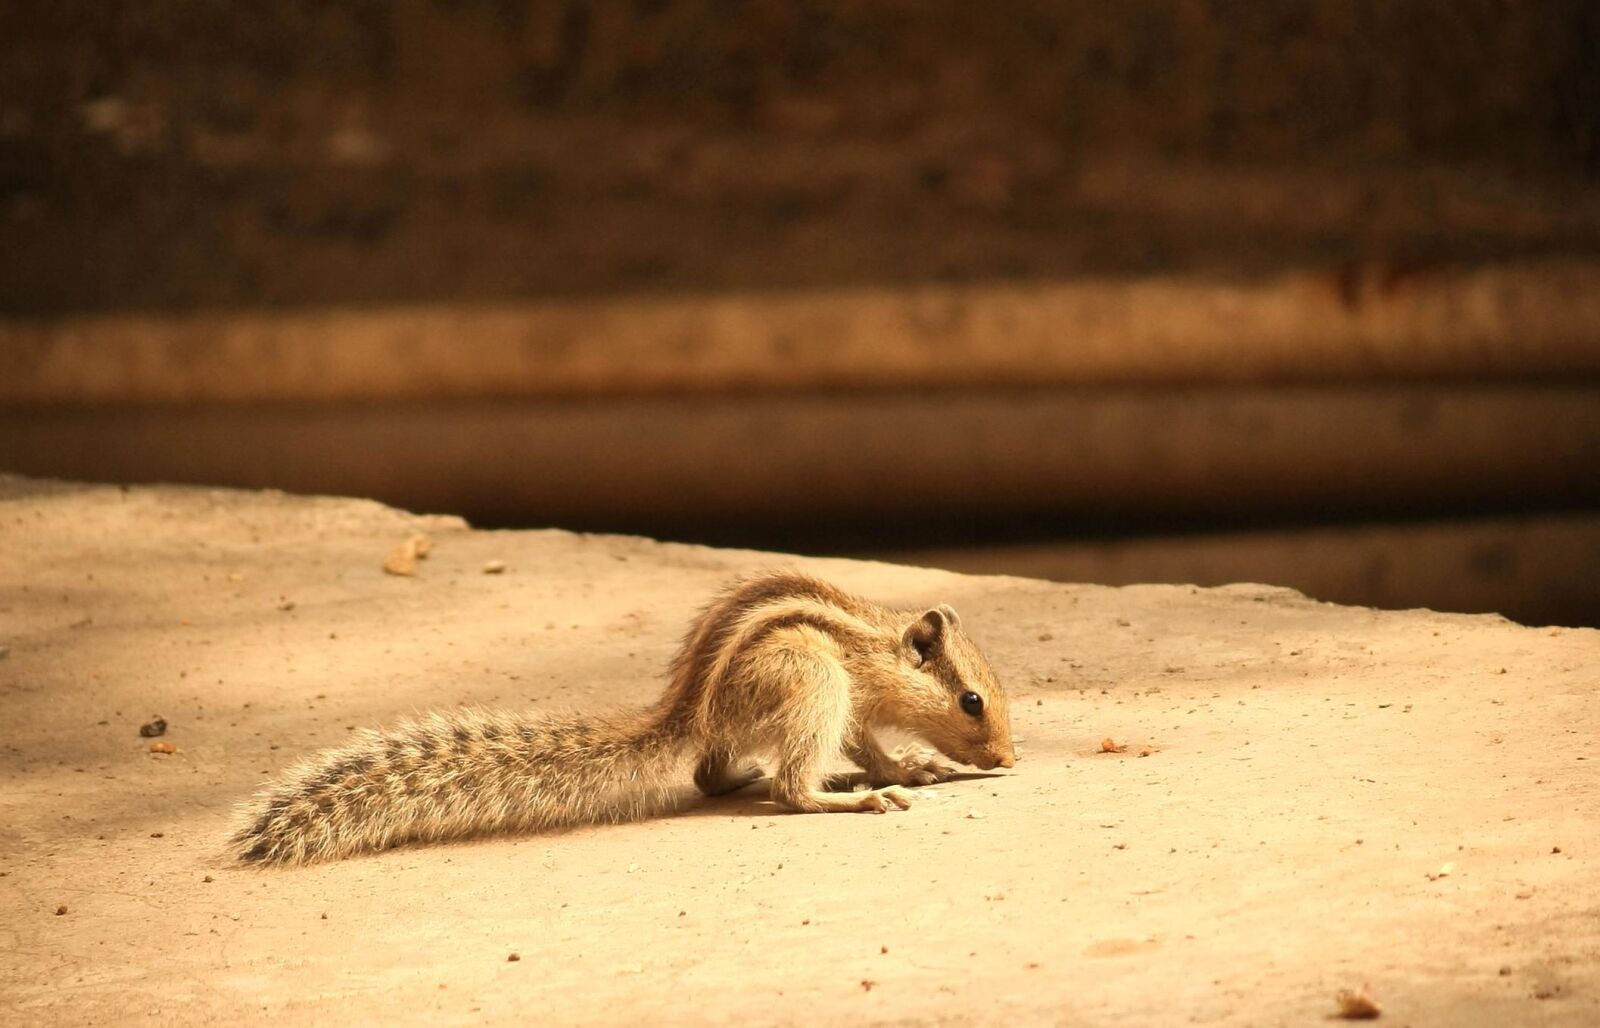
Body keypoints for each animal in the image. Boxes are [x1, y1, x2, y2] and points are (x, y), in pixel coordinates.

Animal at [230, 570, 1016, 865]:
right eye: (972, 701)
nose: (1008, 758)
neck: (878, 645)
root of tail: (687, 711)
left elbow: (870, 744)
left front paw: (916, 763)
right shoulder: (847, 688)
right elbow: (865, 744)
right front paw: (900, 770)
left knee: (712, 776)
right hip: (809, 679)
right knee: (789, 789)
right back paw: (849, 798)